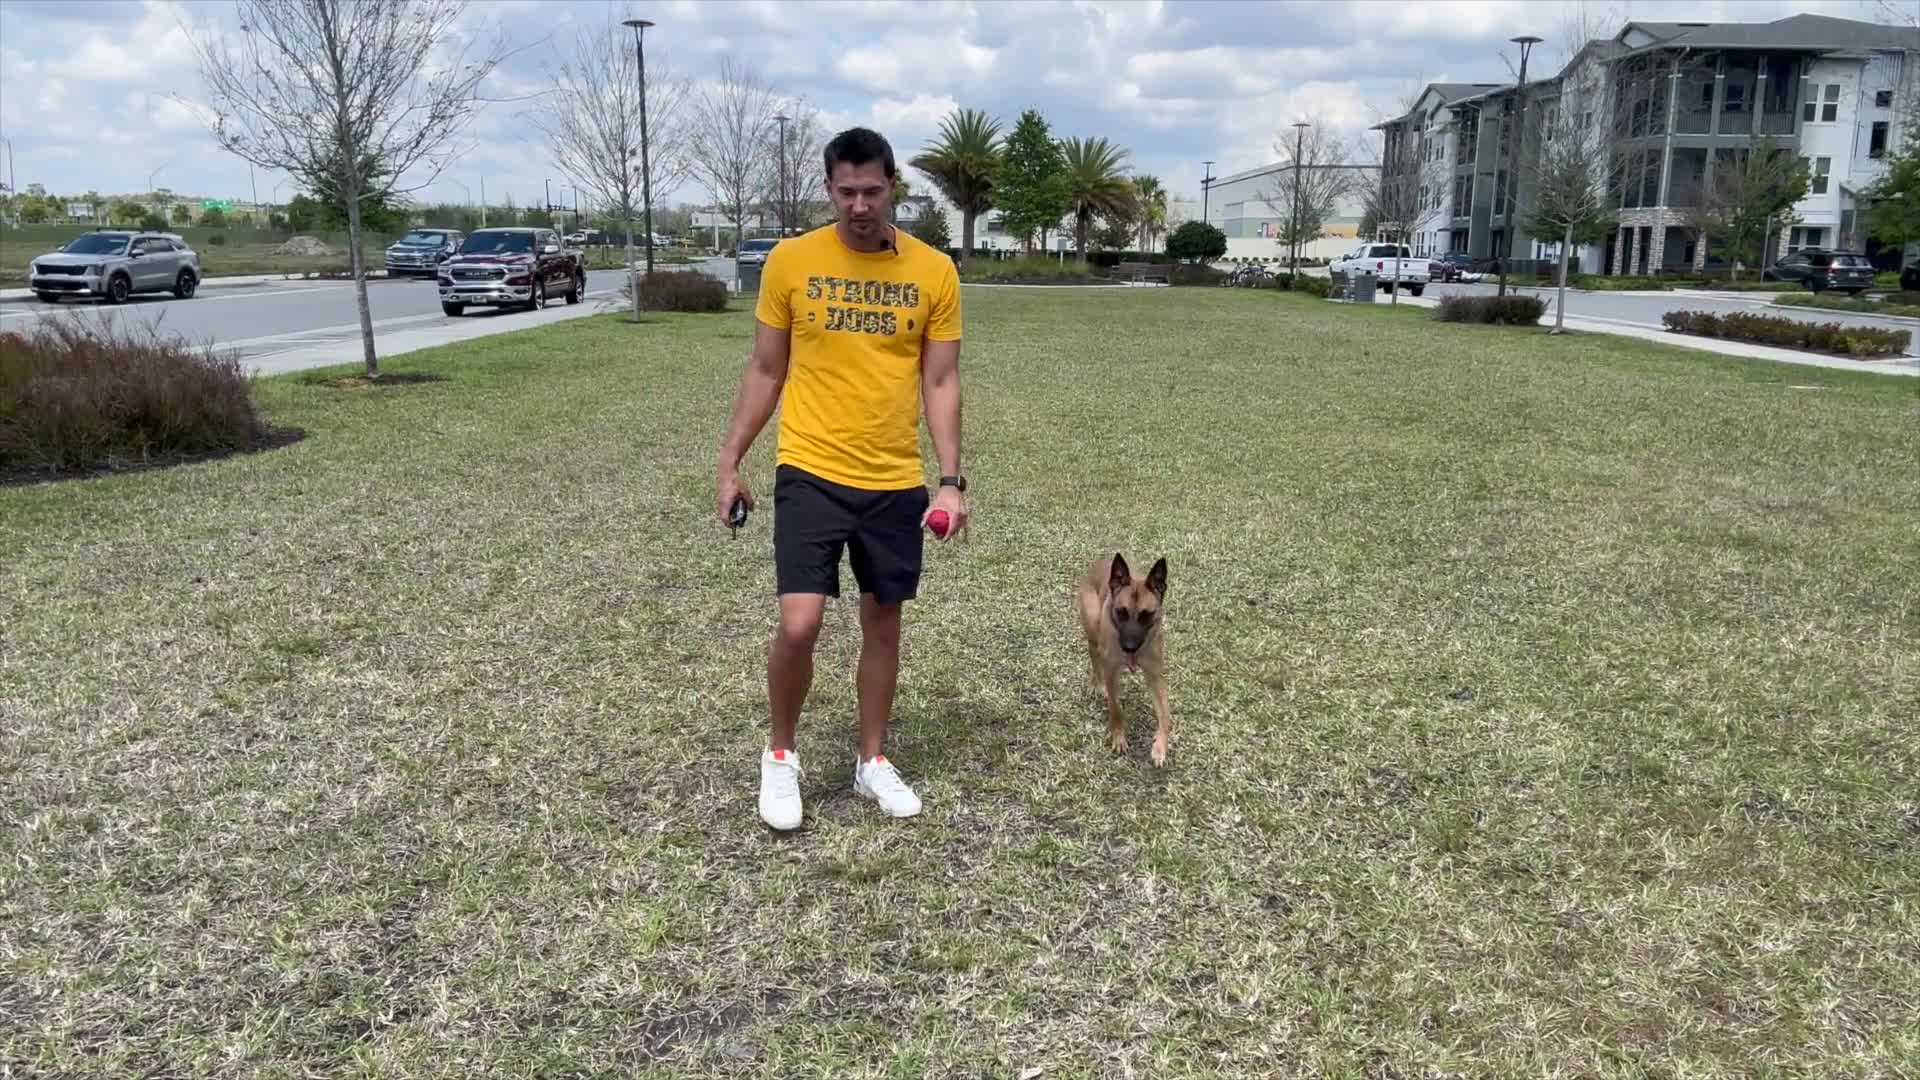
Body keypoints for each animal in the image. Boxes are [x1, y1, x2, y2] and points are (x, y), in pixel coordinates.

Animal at [1075, 552, 1172, 766]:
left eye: (1146, 615)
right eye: (1121, 612)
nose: (1129, 647)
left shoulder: (1155, 676)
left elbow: (1165, 716)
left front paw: (1160, 747)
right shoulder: (1111, 672)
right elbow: (1115, 708)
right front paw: (1119, 737)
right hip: (1093, 627)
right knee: (1094, 654)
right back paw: (1096, 682)